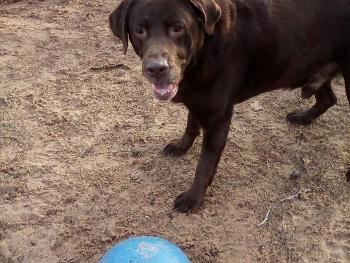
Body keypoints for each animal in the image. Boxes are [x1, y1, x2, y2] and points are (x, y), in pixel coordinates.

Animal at [109, 0, 350, 213]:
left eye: (178, 27)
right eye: (139, 30)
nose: (156, 68)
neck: (205, 48)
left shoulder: (218, 119)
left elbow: (205, 164)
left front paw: (193, 198)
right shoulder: (197, 97)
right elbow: (191, 123)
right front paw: (182, 145)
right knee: (328, 99)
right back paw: (303, 117)